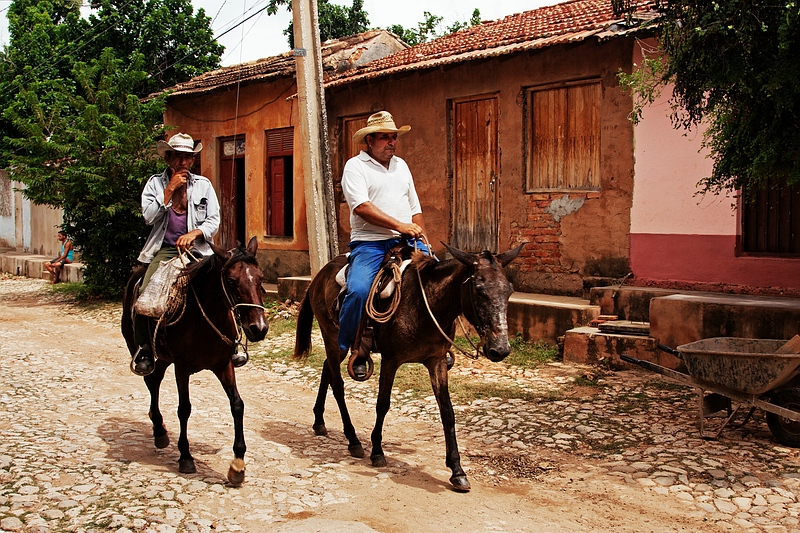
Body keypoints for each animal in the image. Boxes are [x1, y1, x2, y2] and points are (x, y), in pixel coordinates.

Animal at [120, 235, 268, 484]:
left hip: (164, 358)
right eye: (231, 281)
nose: (259, 328)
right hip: (143, 350)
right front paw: (185, 457)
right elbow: (184, 409)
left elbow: (237, 404)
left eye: (260, 278)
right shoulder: (182, 367)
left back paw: (159, 428)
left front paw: (238, 464)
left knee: (155, 380)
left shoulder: (224, 365)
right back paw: (159, 429)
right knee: (150, 380)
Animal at [294, 242, 524, 490]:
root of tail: (318, 276)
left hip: (338, 346)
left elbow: (447, 412)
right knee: (337, 385)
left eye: (508, 291)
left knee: (327, 367)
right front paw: (377, 451)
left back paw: (319, 421)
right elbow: (382, 404)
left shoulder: (436, 361)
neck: (426, 305)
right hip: (333, 337)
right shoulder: (391, 360)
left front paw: (457, 470)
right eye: (479, 290)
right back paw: (353, 440)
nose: (500, 349)